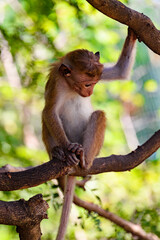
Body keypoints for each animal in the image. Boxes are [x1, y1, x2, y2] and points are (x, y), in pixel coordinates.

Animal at [42, 28, 137, 240]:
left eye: (95, 82)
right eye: (87, 84)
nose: (91, 92)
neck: (70, 85)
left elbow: (120, 72)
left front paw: (132, 33)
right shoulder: (56, 83)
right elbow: (50, 112)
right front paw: (66, 150)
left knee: (98, 115)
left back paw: (84, 160)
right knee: (45, 117)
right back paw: (59, 152)